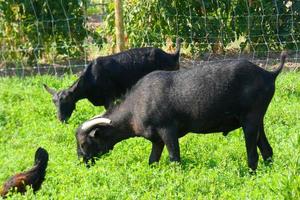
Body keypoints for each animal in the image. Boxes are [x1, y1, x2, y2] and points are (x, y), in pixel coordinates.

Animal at [44, 38, 180, 122]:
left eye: (67, 100)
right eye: (54, 102)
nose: (61, 119)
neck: (91, 78)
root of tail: (172, 56)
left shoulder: (109, 98)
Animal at [75, 52, 286, 170]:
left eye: (84, 144)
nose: (82, 163)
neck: (135, 107)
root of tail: (269, 74)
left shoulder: (168, 131)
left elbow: (175, 159)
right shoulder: (157, 139)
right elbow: (152, 161)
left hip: (250, 120)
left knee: (253, 155)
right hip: (257, 121)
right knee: (267, 151)